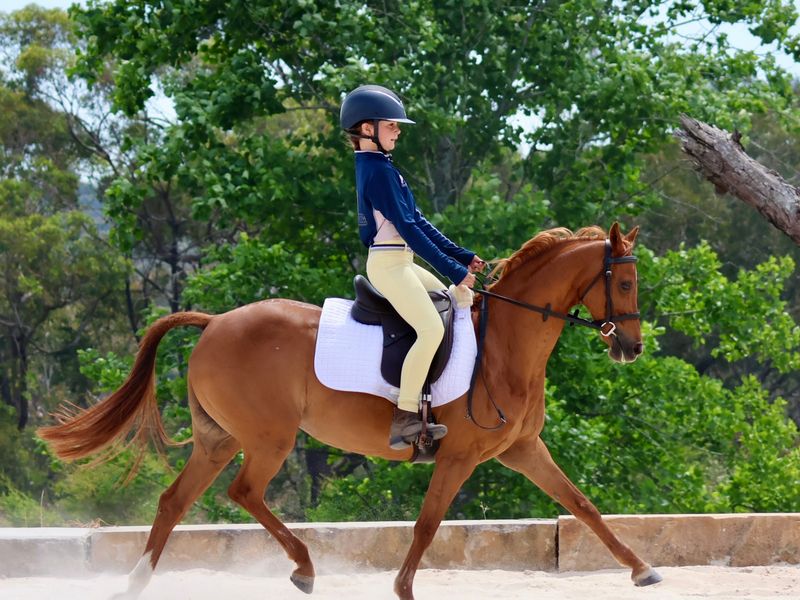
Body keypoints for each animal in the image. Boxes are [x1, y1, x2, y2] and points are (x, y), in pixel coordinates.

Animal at [38, 222, 661, 600]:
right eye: (626, 282)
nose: (631, 348)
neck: (506, 344)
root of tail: (215, 322)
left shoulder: (523, 450)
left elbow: (581, 504)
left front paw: (642, 568)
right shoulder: (458, 455)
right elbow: (428, 523)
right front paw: (403, 589)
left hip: (219, 439)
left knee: (175, 500)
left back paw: (136, 582)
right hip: (268, 438)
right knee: (244, 492)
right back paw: (304, 568)